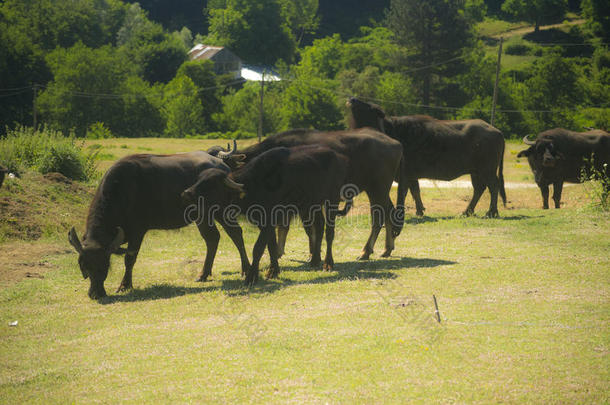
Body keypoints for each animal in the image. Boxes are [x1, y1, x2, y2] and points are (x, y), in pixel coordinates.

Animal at [66, 146, 247, 300]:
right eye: (84, 266)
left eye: (104, 266)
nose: (96, 294)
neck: (122, 191)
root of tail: (223, 166)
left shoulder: (138, 231)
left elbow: (129, 258)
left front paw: (125, 285)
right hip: (202, 216)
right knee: (212, 238)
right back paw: (203, 274)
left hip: (222, 210)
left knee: (236, 233)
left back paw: (245, 269)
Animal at [182, 145, 346, 284]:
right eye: (199, 179)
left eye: (210, 184)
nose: (187, 193)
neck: (256, 184)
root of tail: (337, 156)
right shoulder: (263, 222)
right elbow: (271, 246)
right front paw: (273, 271)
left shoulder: (269, 220)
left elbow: (258, 248)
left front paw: (252, 276)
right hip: (312, 205)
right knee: (318, 227)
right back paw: (315, 260)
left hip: (332, 200)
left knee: (329, 231)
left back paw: (328, 263)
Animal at [235, 127, 402, 258]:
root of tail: (395, 143)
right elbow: (285, 227)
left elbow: (307, 228)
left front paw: (312, 254)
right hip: (379, 190)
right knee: (389, 212)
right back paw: (387, 249)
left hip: (377, 188)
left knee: (379, 217)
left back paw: (366, 251)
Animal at [344, 97, 506, 216]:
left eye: (370, 107)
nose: (352, 99)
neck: (391, 132)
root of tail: (497, 131)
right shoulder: (411, 175)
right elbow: (415, 190)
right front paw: (420, 210)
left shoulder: (405, 175)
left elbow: (404, 192)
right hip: (476, 171)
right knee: (480, 188)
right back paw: (467, 211)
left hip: (487, 170)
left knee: (493, 186)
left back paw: (491, 212)